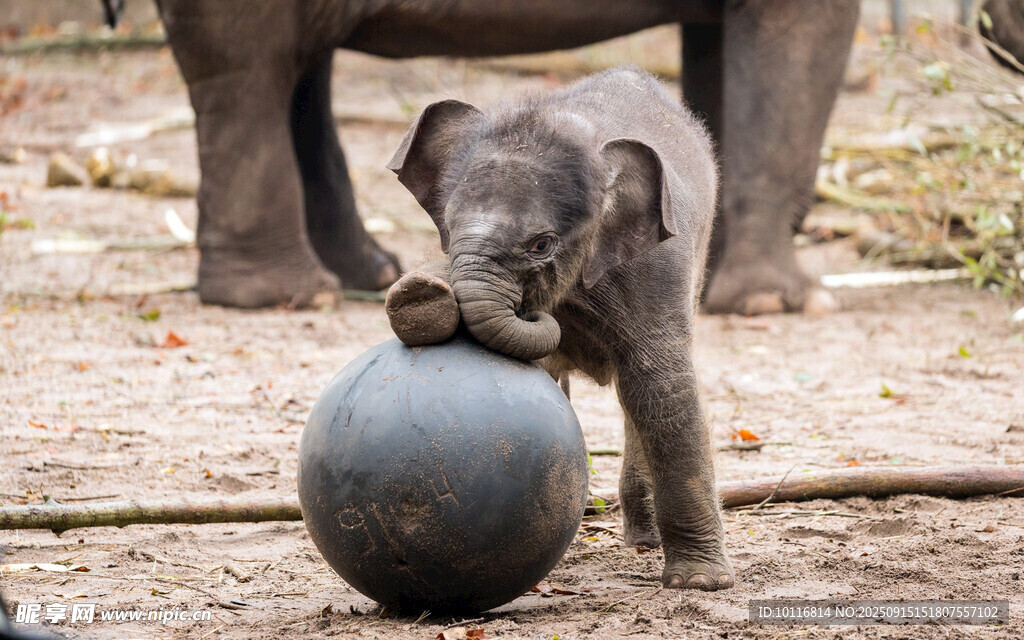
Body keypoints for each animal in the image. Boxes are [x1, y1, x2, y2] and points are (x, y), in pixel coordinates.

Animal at [384, 67, 732, 590]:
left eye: (541, 245)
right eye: (446, 223)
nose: (533, 310)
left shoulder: (657, 266)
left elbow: (661, 387)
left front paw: (699, 584)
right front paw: (419, 298)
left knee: (636, 393)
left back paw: (644, 543)